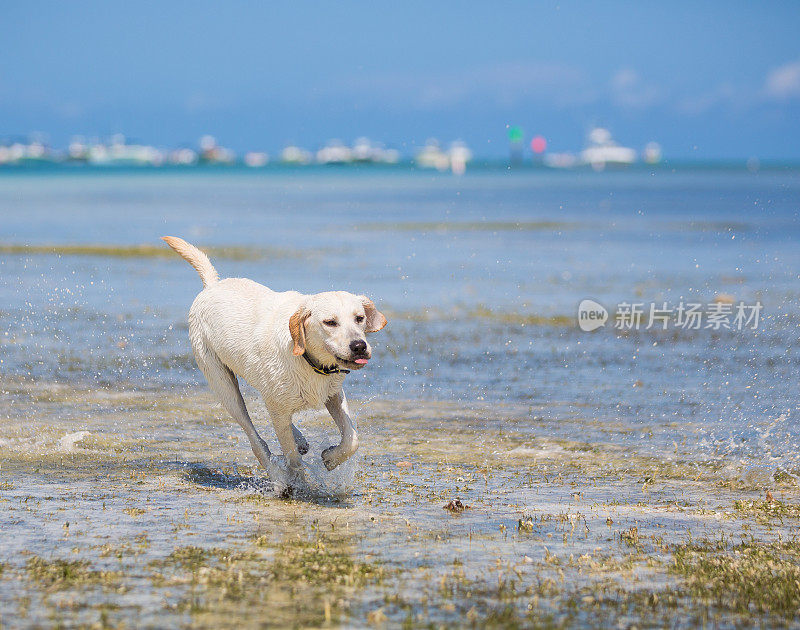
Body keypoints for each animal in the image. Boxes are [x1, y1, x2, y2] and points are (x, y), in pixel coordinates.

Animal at [162, 237, 388, 478]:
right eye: (330, 322)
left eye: (359, 318)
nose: (359, 346)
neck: (309, 361)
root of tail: (212, 285)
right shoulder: (278, 410)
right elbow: (292, 458)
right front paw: (298, 480)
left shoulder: (333, 392)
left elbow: (352, 439)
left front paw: (330, 458)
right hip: (224, 387)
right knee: (256, 440)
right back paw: (276, 473)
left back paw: (300, 440)